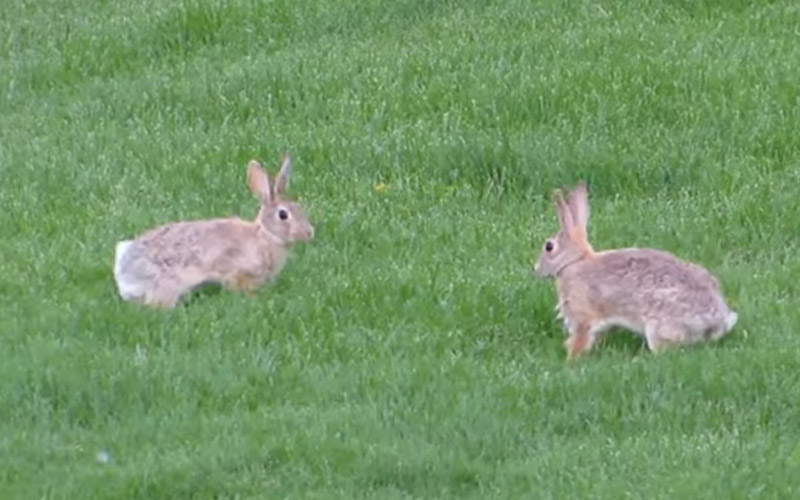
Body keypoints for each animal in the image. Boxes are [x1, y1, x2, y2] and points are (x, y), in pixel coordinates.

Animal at [533, 181, 738, 360]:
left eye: (549, 247)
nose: (536, 269)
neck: (575, 261)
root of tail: (716, 321)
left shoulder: (582, 315)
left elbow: (580, 339)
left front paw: (570, 362)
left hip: (658, 325)